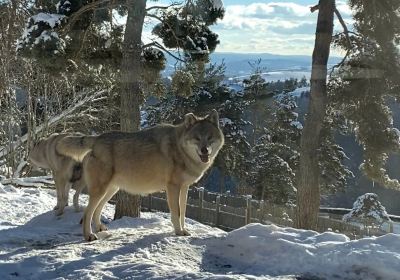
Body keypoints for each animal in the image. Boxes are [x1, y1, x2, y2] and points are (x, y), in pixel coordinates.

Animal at [56, 110, 225, 242]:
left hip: (111, 191)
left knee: (96, 210)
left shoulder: (184, 188)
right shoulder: (173, 187)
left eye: (210, 137)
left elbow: (183, 212)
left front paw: (184, 231)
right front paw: (178, 232)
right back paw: (89, 236)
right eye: (197, 138)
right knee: (87, 213)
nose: (205, 150)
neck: (180, 149)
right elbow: (176, 213)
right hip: (101, 191)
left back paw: (99, 229)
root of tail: (97, 138)